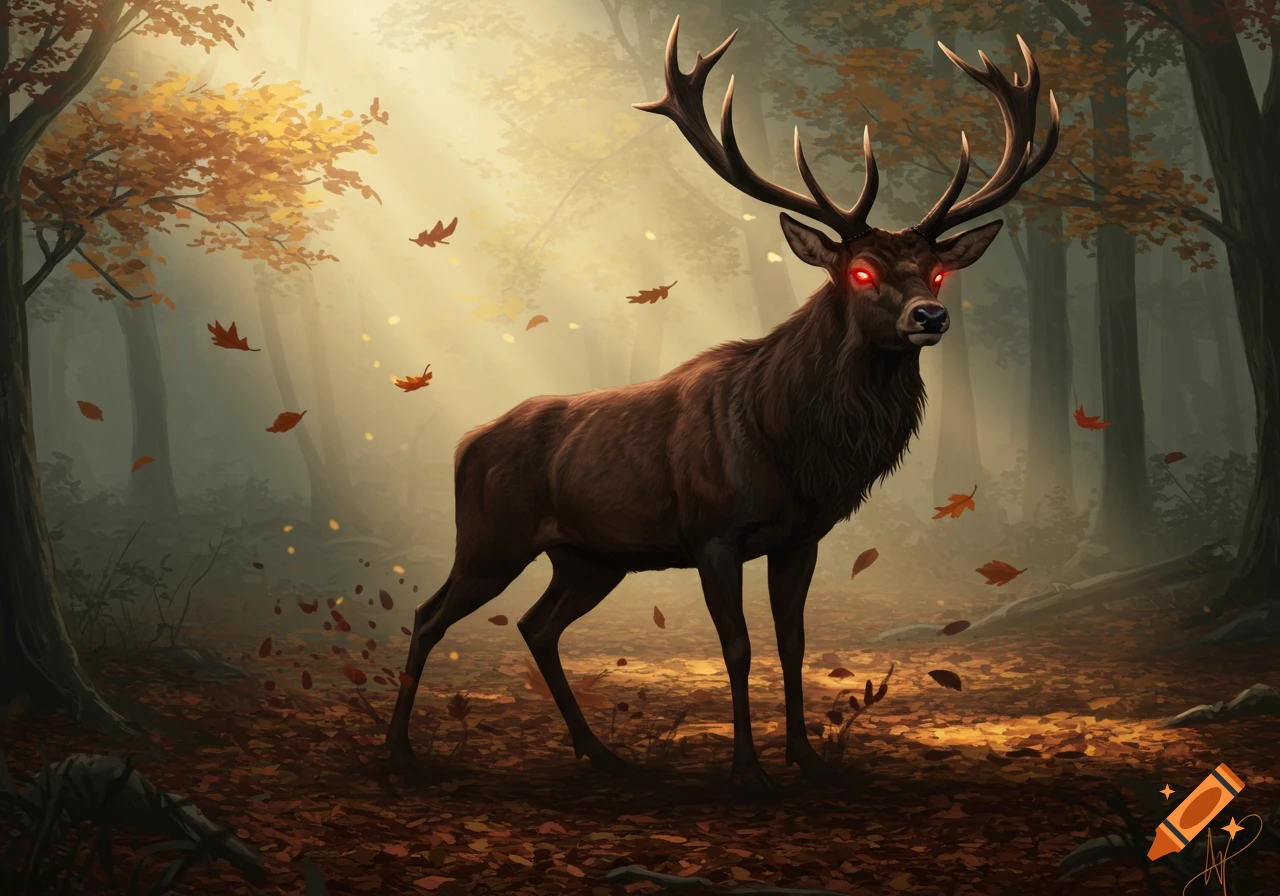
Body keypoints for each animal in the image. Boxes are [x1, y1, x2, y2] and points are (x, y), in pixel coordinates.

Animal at [387, 17, 1058, 789]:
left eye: (939, 272)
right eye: (860, 272)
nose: (930, 316)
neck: (794, 447)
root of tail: (466, 444)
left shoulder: (801, 535)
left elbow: (794, 643)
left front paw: (806, 758)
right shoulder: (713, 532)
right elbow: (737, 647)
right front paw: (748, 768)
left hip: (590, 556)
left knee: (537, 624)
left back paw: (601, 753)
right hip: (492, 537)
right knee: (430, 613)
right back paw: (398, 751)